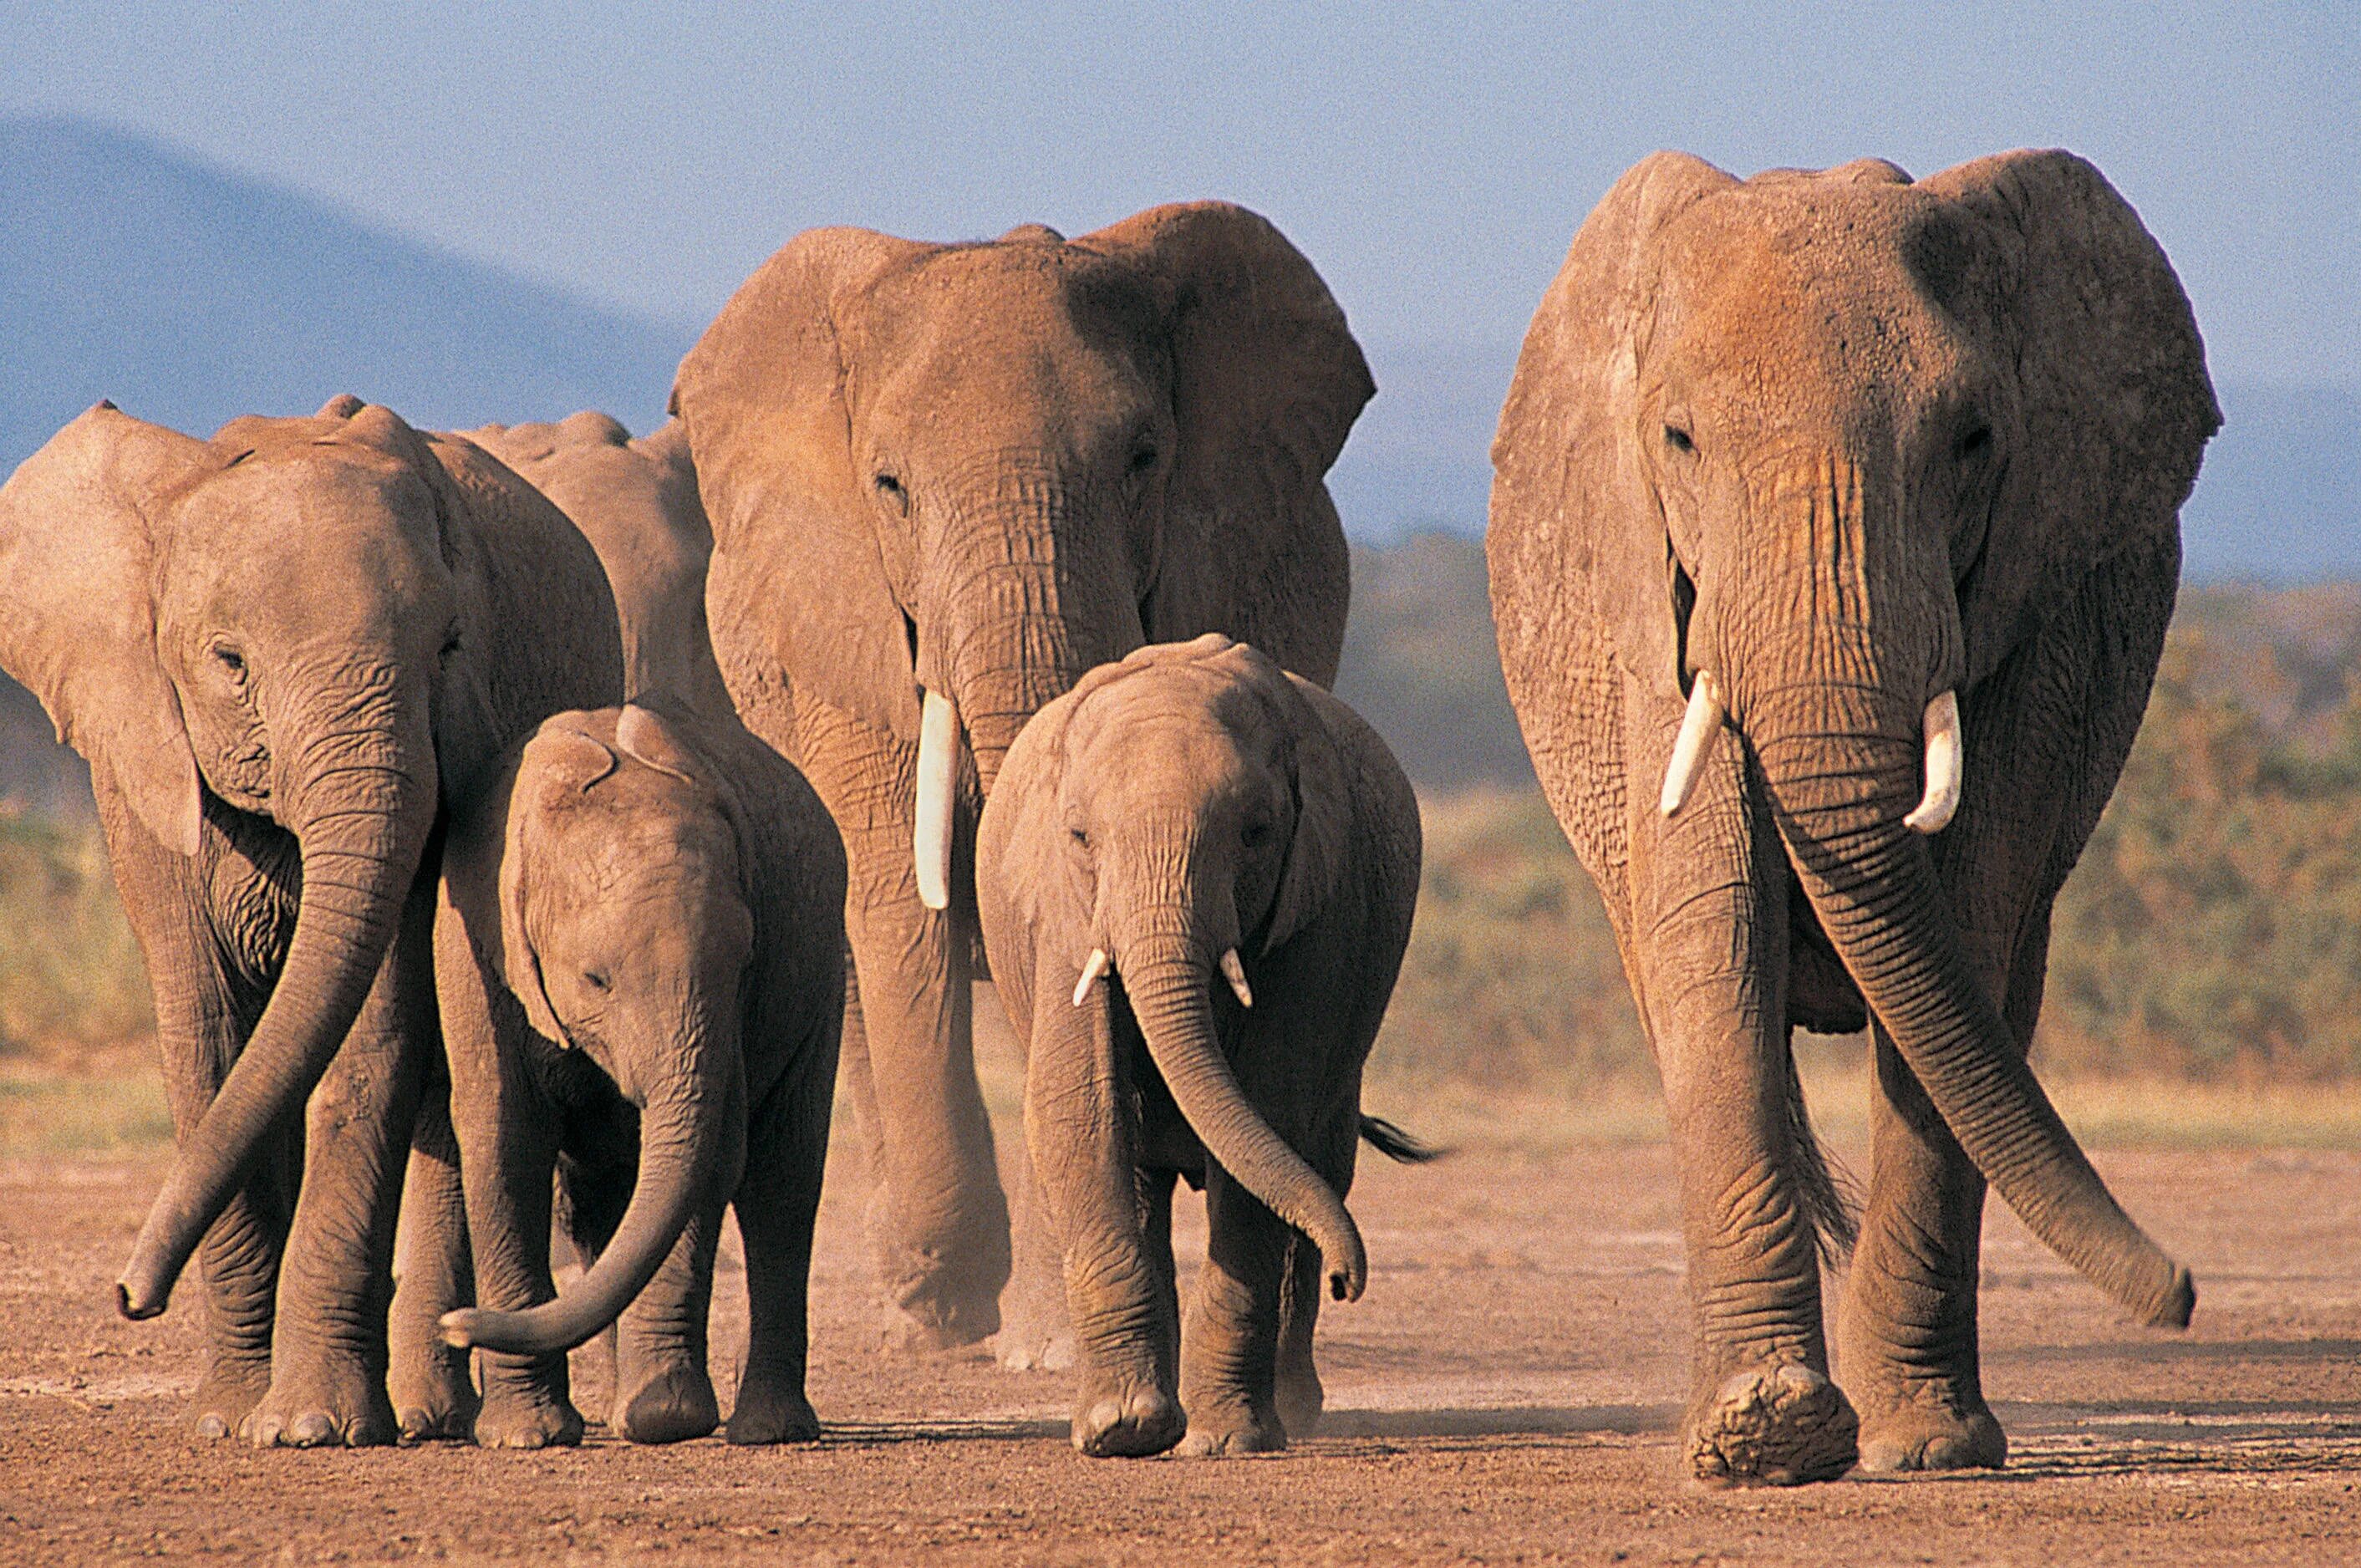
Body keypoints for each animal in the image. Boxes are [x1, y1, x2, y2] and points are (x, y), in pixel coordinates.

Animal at [0, 394, 623, 1445]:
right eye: (230, 663)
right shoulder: (146, 766)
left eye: (449, 650)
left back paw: (428, 1415)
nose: (130, 1295)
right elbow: (209, 1036)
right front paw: (227, 1418)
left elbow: (369, 1039)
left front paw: (308, 1427)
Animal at [430, 699, 845, 1445]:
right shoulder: (475, 950)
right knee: (596, 1201)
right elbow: (504, 1146)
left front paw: (664, 1420)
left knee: (782, 1186)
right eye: (596, 980)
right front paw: (525, 1437)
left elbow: (713, 1159)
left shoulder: (731, 1003)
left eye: (743, 962)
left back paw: (765, 1430)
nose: (454, 1329)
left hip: (824, 979)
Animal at [665, 196, 1378, 1351]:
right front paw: (944, 1298)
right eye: (890, 488)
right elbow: (898, 904)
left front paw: (1043, 1344)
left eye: (1141, 459)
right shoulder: (843, 639)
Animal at [972, 633, 1417, 1454]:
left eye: (1256, 833)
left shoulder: (1322, 908)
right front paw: (1123, 1431)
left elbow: (1272, 1109)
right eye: (1079, 836)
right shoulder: (1061, 911)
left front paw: (1225, 1442)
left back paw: (1292, 1411)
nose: (1352, 1280)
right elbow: (1079, 1109)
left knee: (1320, 1163)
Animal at [1492, 153, 2210, 1492]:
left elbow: (1964, 933)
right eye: (1676, 439)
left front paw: (1923, 1450)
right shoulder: (1653, 602)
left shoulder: (2035, 613)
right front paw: (1762, 1435)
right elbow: (1709, 933)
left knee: (1999, 990)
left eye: (1973, 440)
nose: (2184, 1292)